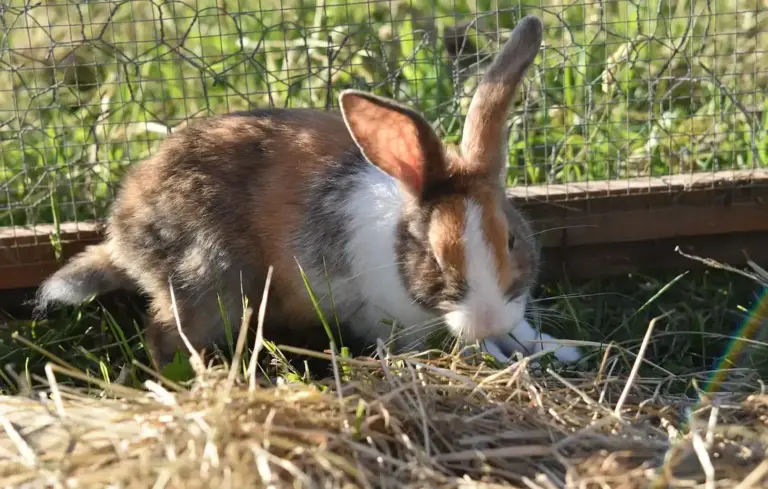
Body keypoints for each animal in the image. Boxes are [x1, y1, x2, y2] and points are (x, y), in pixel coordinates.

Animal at [36, 15, 581, 370]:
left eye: (511, 240)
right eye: (435, 257)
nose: (487, 320)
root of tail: (120, 232)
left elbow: (522, 331)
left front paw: (556, 349)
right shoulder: (391, 322)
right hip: (206, 284)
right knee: (165, 337)